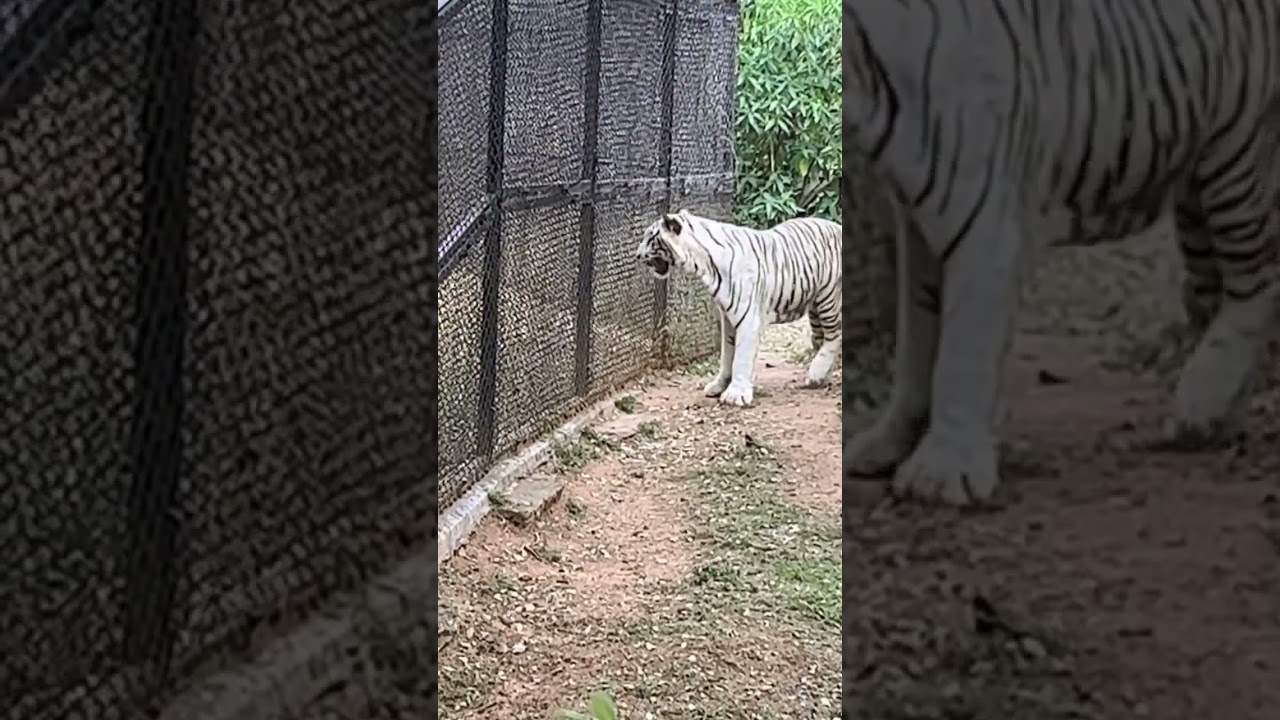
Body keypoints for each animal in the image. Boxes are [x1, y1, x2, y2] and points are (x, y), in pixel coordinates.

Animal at [636, 209, 842, 407]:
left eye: (650, 238)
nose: (637, 255)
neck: (705, 265)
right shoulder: (728, 318)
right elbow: (727, 356)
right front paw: (719, 386)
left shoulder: (748, 318)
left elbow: (741, 358)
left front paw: (735, 395)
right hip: (815, 308)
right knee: (821, 339)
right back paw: (822, 378)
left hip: (829, 298)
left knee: (835, 335)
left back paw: (815, 375)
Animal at [843, 0, 1280, 506]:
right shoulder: (917, 230)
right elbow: (917, 344)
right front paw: (891, 443)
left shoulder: (983, 221)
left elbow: (961, 352)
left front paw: (944, 471)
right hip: (1195, 195)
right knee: (1215, 294)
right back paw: (1211, 416)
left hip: (1238, 159)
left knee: (1260, 283)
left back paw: (1198, 405)